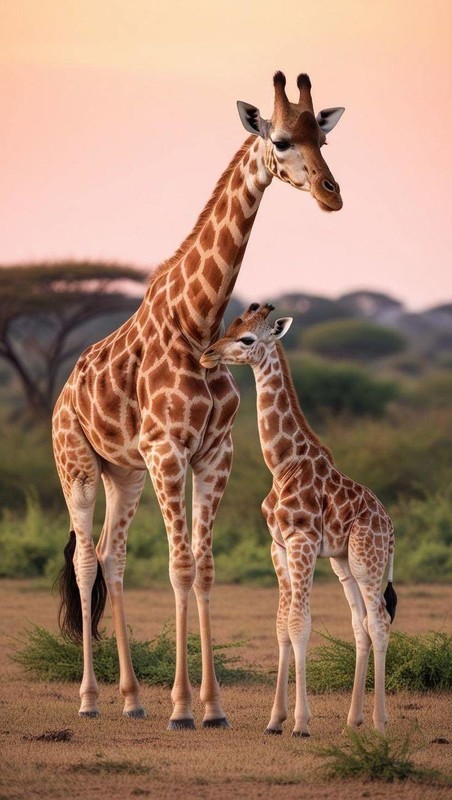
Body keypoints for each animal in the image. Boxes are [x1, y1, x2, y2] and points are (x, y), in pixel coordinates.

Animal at [52, 72, 345, 728]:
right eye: (281, 140)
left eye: (324, 138)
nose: (332, 194)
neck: (198, 319)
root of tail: (60, 396)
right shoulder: (169, 452)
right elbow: (180, 566)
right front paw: (183, 706)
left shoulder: (214, 453)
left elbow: (205, 568)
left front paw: (212, 706)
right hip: (77, 467)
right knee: (85, 562)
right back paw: (90, 699)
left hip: (124, 474)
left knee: (113, 556)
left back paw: (132, 698)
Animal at [201, 304, 397, 736]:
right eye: (229, 327)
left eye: (247, 339)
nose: (207, 354)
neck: (283, 465)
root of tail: (390, 527)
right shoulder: (278, 547)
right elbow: (281, 627)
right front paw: (275, 719)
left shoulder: (302, 542)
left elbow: (299, 624)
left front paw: (301, 722)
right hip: (343, 563)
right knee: (360, 625)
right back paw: (353, 718)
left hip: (368, 559)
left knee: (379, 622)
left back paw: (379, 721)